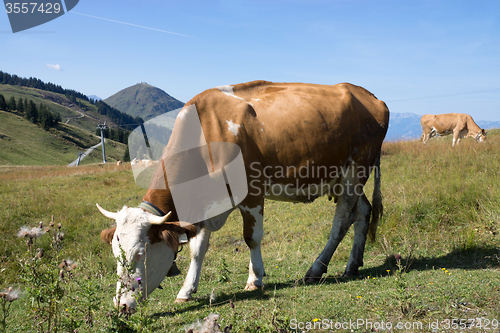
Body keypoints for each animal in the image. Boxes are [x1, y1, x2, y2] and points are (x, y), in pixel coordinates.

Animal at [95, 81, 388, 312]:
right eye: (115, 255)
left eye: (141, 253)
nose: (121, 306)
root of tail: (370, 96)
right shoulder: (206, 204)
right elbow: (197, 248)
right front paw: (186, 290)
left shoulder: (252, 190)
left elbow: (252, 237)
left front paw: (255, 279)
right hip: (344, 178)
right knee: (363, 212)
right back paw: (353, 264)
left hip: (355, 171)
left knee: (341, 221)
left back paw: (316, 269)